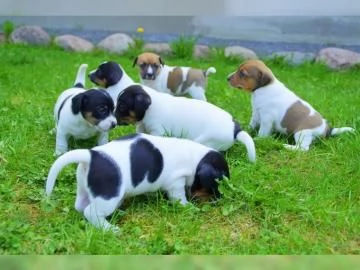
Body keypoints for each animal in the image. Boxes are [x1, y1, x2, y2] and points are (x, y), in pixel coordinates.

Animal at [45, 133, 231, 232]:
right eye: (219, 181)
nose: (220, 199)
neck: (195, 158)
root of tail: (91, 156)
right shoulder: (176, 183)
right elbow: (179, 199)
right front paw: (189, 207)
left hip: (84, 188)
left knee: (80, 206)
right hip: (108, 197)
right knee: (90, 212)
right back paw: (110, 229)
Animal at [114, 83, 255, 161]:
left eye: (122, 106)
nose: (113, 120)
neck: (151, 107)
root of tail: (235, 129)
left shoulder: (158, 131)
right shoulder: (142, 127)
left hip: (206, 140)